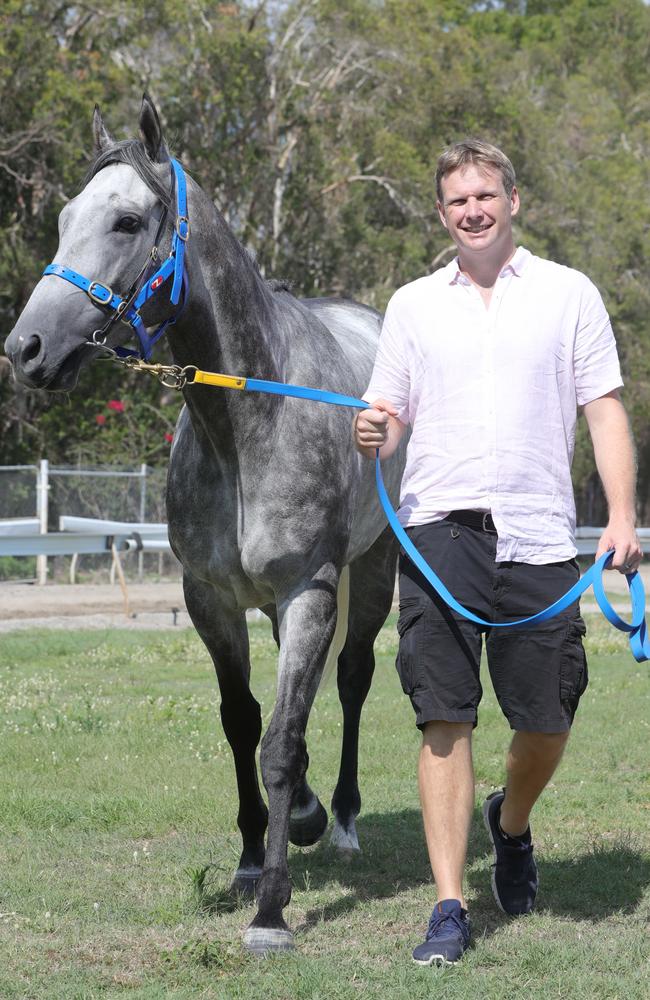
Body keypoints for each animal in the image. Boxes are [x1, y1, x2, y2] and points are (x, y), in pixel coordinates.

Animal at [5, 99, 404, 952]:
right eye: (62, 219)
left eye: (126, 221)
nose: (26, 348)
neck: (248, 425)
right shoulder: (211, 601)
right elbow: (242, 722)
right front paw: (254, 859)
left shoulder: (309, 591)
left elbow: (280, 741)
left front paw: (273, 910)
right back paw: (312, 815)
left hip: (374, 568)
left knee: (352, 679)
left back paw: (341, 820)